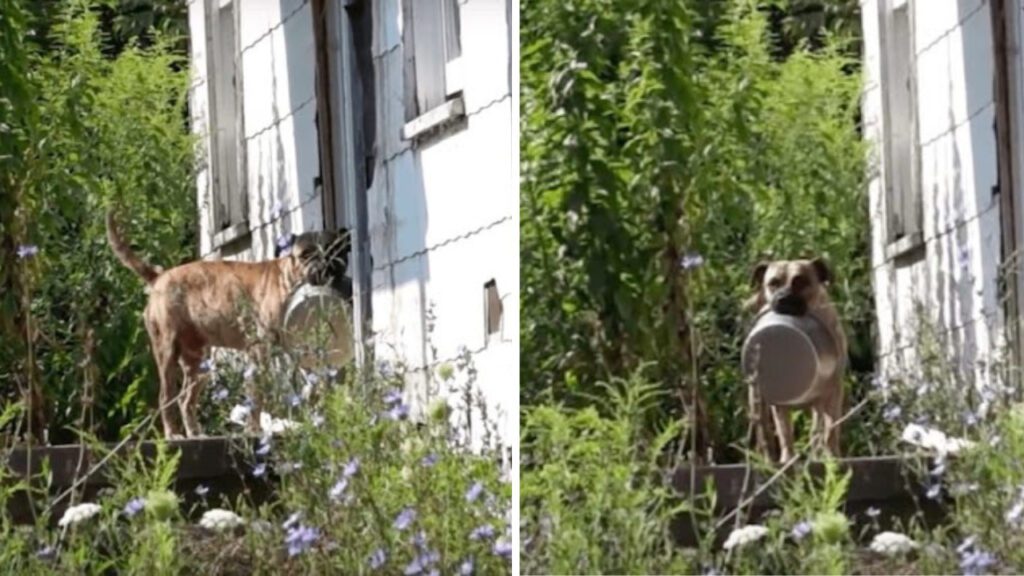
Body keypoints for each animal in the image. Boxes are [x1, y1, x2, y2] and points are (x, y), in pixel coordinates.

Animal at [106, 211, 348, 438]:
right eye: (306, 255)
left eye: (335, 250)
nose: (324, 266)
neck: (288, 279)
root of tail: (159, 277)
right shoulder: (259, 351)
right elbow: (256, 394)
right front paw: (253, 429)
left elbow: (315, 385)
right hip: (167, 353)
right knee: (166, 397)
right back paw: (172, 433)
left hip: (198, 362)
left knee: (186, 400)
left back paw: (194, 432)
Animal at [745, 256, 847, 461]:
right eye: (773, 283)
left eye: (801, 281)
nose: (783, 298)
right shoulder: (778, 403)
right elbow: (785, 431)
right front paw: (787, 458)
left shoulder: (833, 390)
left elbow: (830, 428)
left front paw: (831, 455)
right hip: (756, 398)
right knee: (764, 431)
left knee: (819, 427)